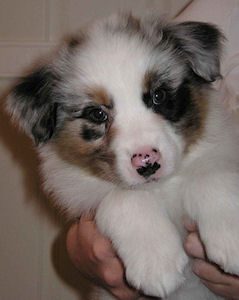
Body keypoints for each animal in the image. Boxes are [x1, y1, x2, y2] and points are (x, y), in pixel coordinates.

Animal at [7, 12, 239, 298]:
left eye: (159, 95)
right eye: (97, 114)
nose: (148, 163)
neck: (162, 188)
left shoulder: (220, 151)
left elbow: (212, 175)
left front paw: (231, 239)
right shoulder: (83, 192)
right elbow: (123, 198)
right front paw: (156, 263)